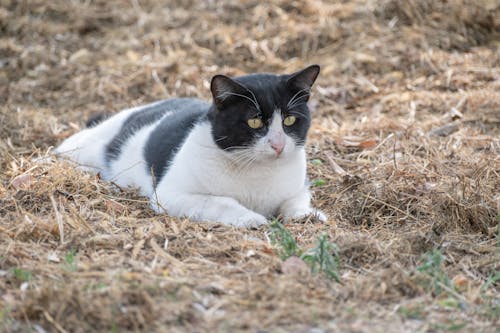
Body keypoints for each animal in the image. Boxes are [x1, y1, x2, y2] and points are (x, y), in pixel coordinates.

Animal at [54, 63, 326, 227]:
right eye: (255, 121)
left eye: (290, 120)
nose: (279, 145)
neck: (259, 173)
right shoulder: (170, 195)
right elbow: (222, 202)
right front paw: (252, 218)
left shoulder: (299, 187)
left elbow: (295, 201)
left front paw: (308, 215)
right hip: (81, 149)